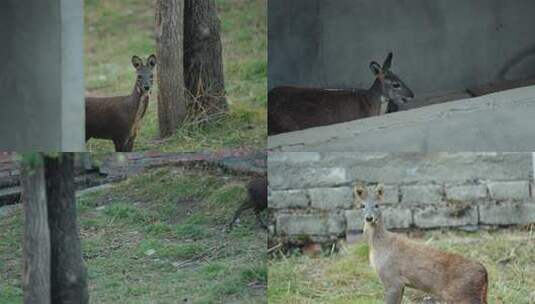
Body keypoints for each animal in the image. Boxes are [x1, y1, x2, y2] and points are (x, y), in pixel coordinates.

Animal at [354, 183, 488, 304]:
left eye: (377, 205)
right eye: (362, 206)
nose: (369, 218)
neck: (378, 246)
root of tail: (484, 272)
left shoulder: (392, 279)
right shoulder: (400, 283)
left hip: (464, 296)